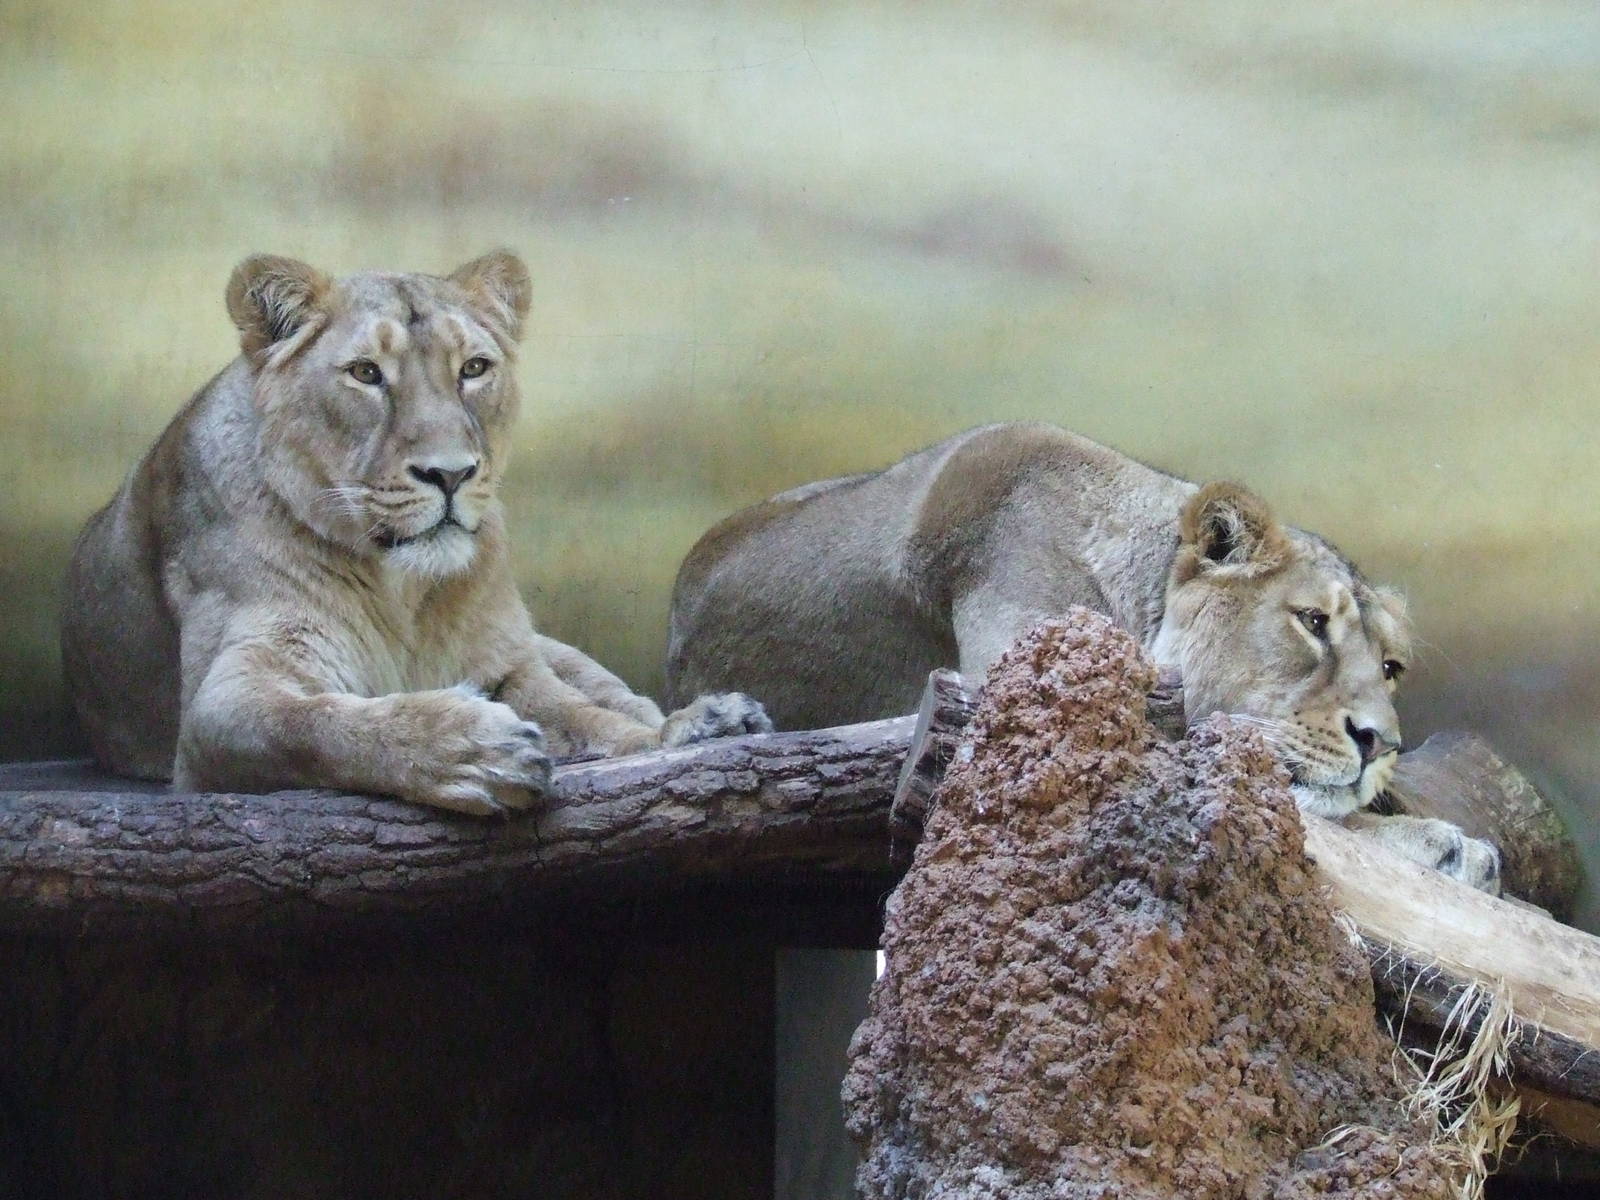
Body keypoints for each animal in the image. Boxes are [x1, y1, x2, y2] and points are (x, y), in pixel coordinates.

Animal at [61, 251, 770, 816]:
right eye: (366, 373)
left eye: (474, 369)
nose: (450, 474)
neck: (400, 588)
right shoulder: (223, 704)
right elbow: (318, 725)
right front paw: (473, 749)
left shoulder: (508, 663)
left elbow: (590, 720)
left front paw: (679, 736)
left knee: (622, 699)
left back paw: (710, 718)